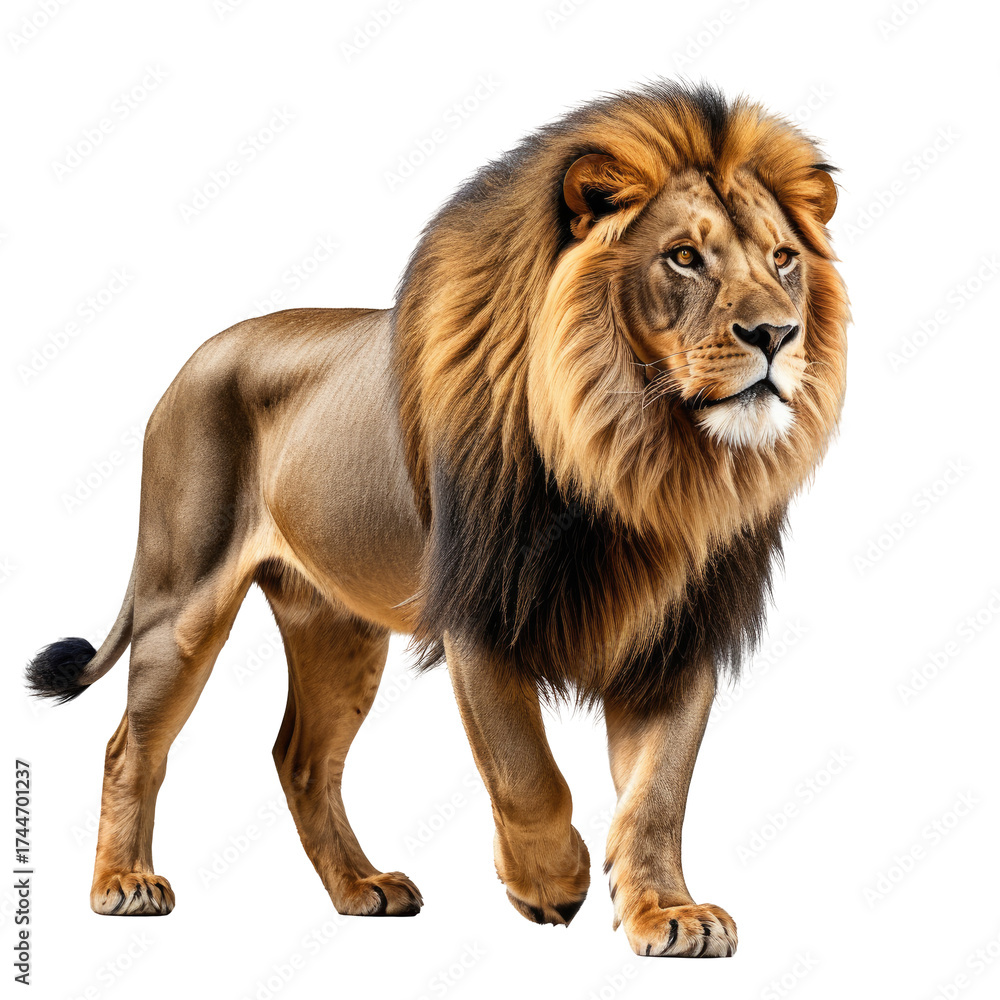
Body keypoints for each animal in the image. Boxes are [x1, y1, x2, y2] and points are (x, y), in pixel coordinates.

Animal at [26, 82, 847, 957]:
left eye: (784, 259)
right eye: (684, 257)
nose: (776, 334)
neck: (640, 455)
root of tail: (193, 359)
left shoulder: (682, 634)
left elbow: (658, 794)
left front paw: (669, 912)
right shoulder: (480, 613)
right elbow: (526, 771)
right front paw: (552, 882)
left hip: (337, 628)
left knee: (301, 758)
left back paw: (362, 888)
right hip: (182, 600)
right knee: (130, 745)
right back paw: (123, 884)